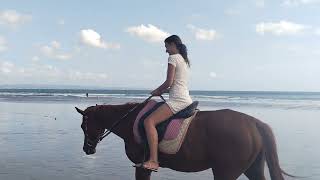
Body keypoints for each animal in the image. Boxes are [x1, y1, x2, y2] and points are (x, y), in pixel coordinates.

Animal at [75, 98, 292, 180]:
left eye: (83, 126)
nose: (87, 149)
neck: (131, 121)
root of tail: (253, 122)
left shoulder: (141, 166)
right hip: (252, 167)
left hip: (226, 172)